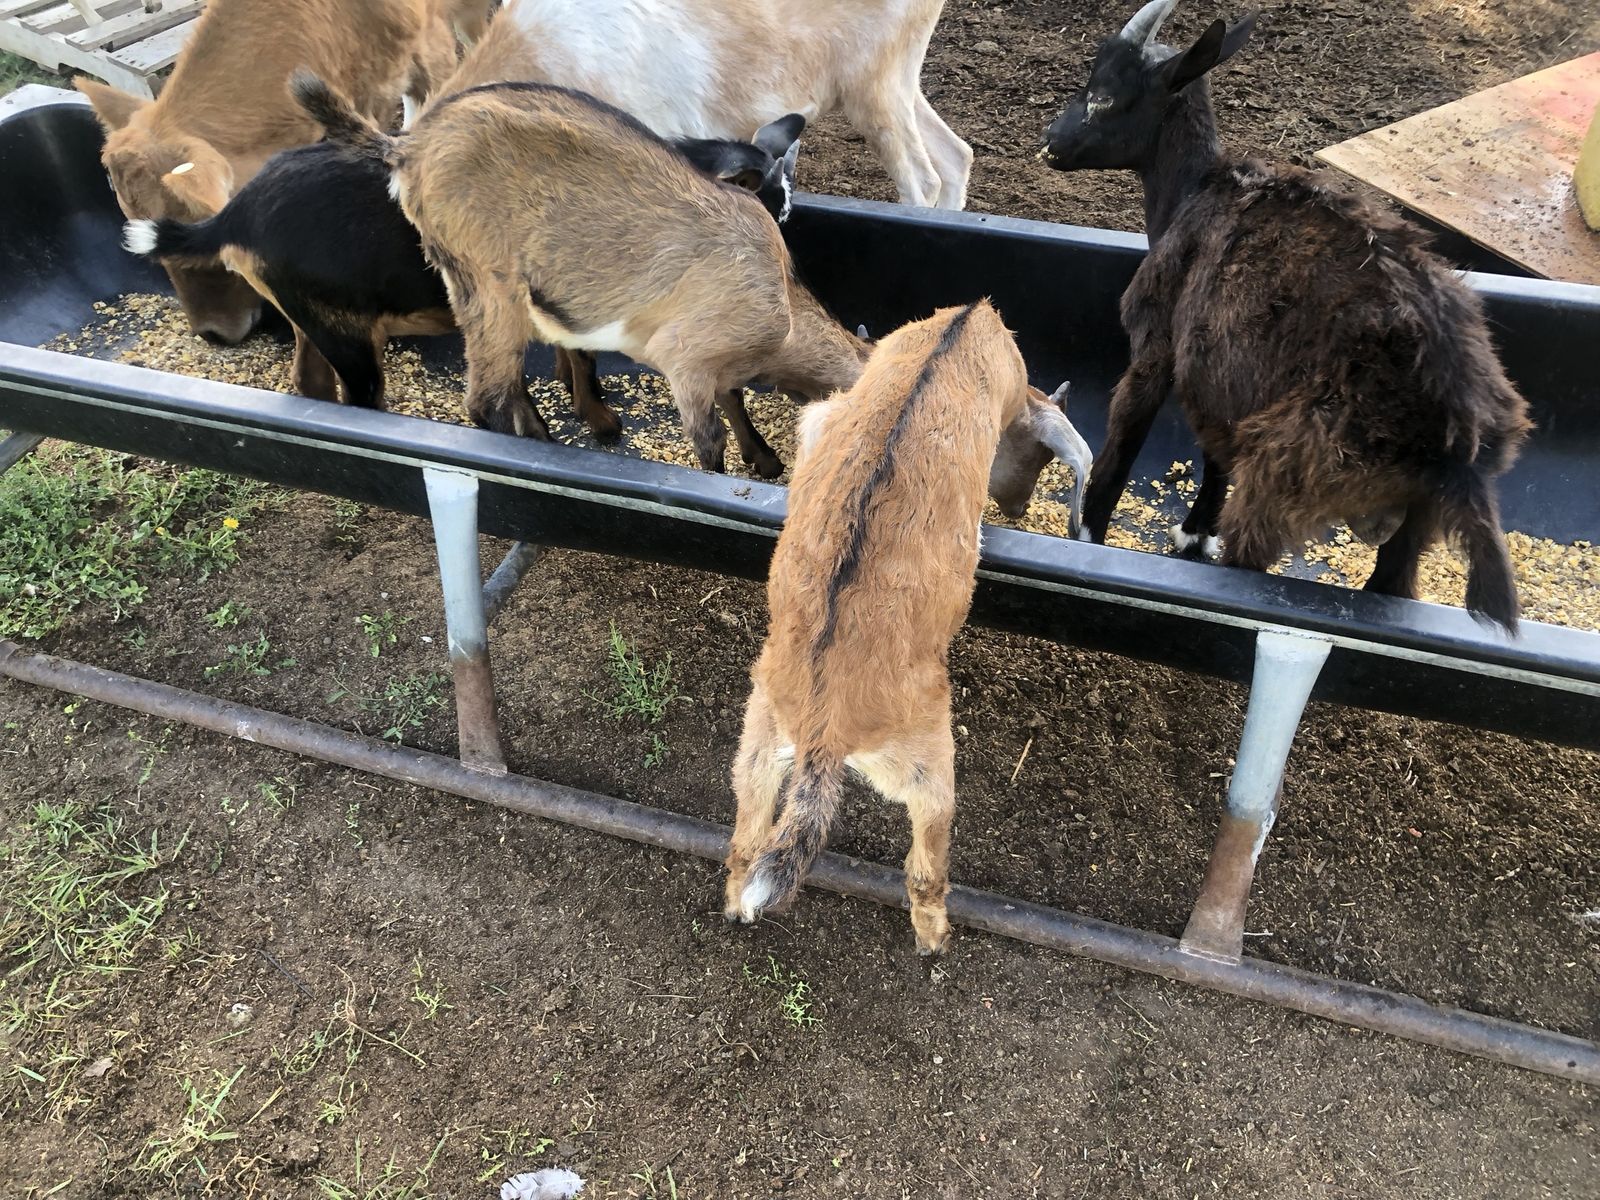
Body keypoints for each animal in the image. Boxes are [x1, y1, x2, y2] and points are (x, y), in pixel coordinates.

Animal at [120, 113, 807, 428]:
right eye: (767, 212)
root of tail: (235, 213)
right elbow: (579, 362)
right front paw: (602, 425)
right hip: (345, 329)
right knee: (360, 399)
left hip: (311, 313)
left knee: (308, 383)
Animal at [299, 75, 869, 477]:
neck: (784, 307)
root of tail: (406, 147)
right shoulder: (688, 362)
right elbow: (710, 444)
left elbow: (735, 398)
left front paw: (767, 460)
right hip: (489, 280)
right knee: (486, 397)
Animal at [722, 302, 1093, 953]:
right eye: (1037, 456)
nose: (1020, 508)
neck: (957, 336)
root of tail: (824, 731)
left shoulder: (826, 417)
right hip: (925, 757)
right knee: (926, 857)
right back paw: (933, 937)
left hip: (762, 732)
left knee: (746, 838)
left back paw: (739, 904)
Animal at [1039, 0, 1533, 632]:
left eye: (1104, 95)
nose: (1052, 142)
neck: (1196, 189)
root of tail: (1454, 431)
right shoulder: (1222, 374)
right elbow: (1214, 452)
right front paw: (1194, 533)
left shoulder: (1159, 341)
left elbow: (1124, 442)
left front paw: (1089, 534)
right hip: (1414, 520)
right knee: (1392, 582)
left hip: (1284, 478)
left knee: (1251, 565)